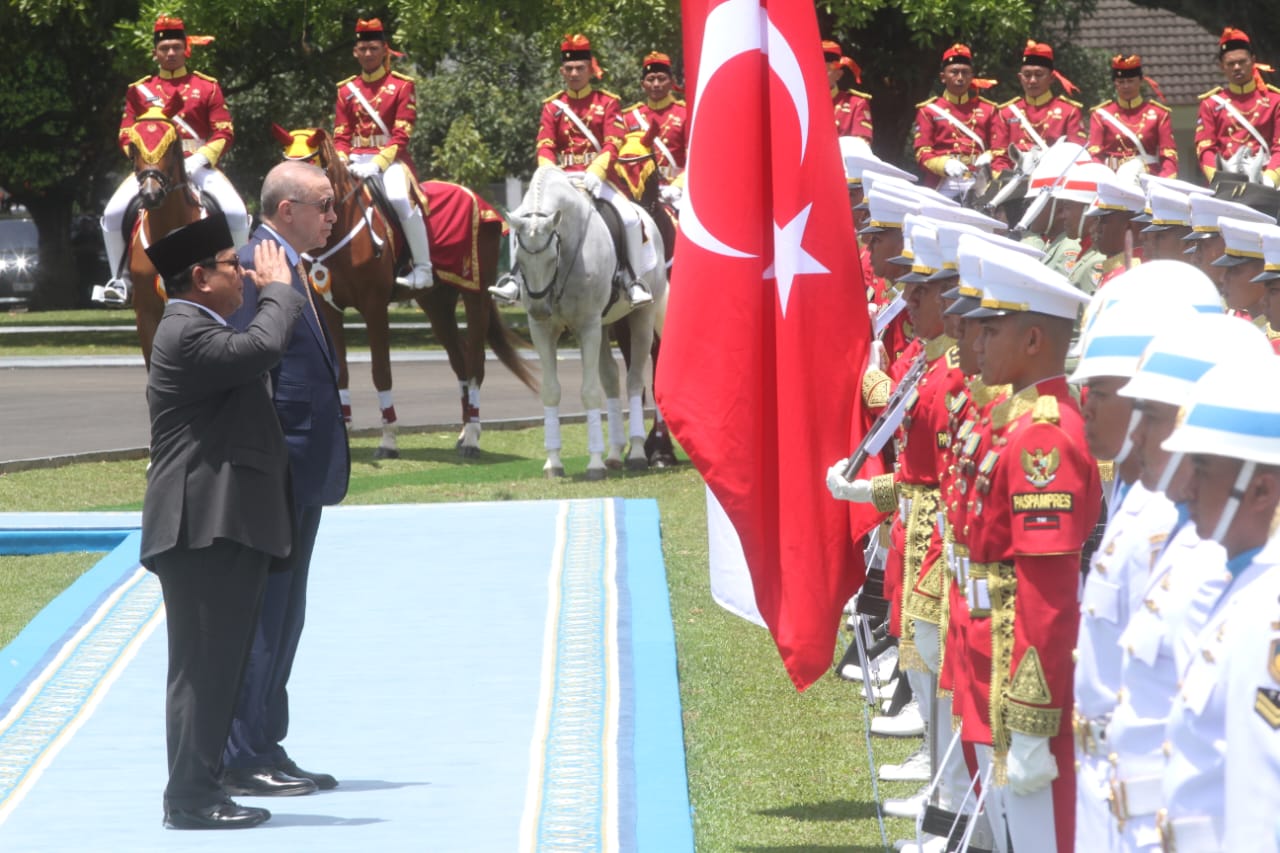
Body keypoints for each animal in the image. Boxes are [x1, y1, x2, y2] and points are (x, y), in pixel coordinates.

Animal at [275, 122, 535, 455]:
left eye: (310, 165)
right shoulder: (328, 308)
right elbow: (340, 369)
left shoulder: (374, 307)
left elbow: (381, 371)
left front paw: (388, 439)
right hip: (437, 304)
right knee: (460, 361)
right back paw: (464, 431)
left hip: (475, 295)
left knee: (475, 362)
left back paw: (473, 437)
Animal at [506, 162, 675, 473]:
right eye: (519, 258)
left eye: (552, 257)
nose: (539, 308)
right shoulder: (543, 330)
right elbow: (551, 390)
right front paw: (553, 462)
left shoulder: (587, 326)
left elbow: (590, 392)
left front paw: (594, 463)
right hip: (607, 325)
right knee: (612, 378)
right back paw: (615, 453)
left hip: (640, 319)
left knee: (635, 381)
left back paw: (637, 453)